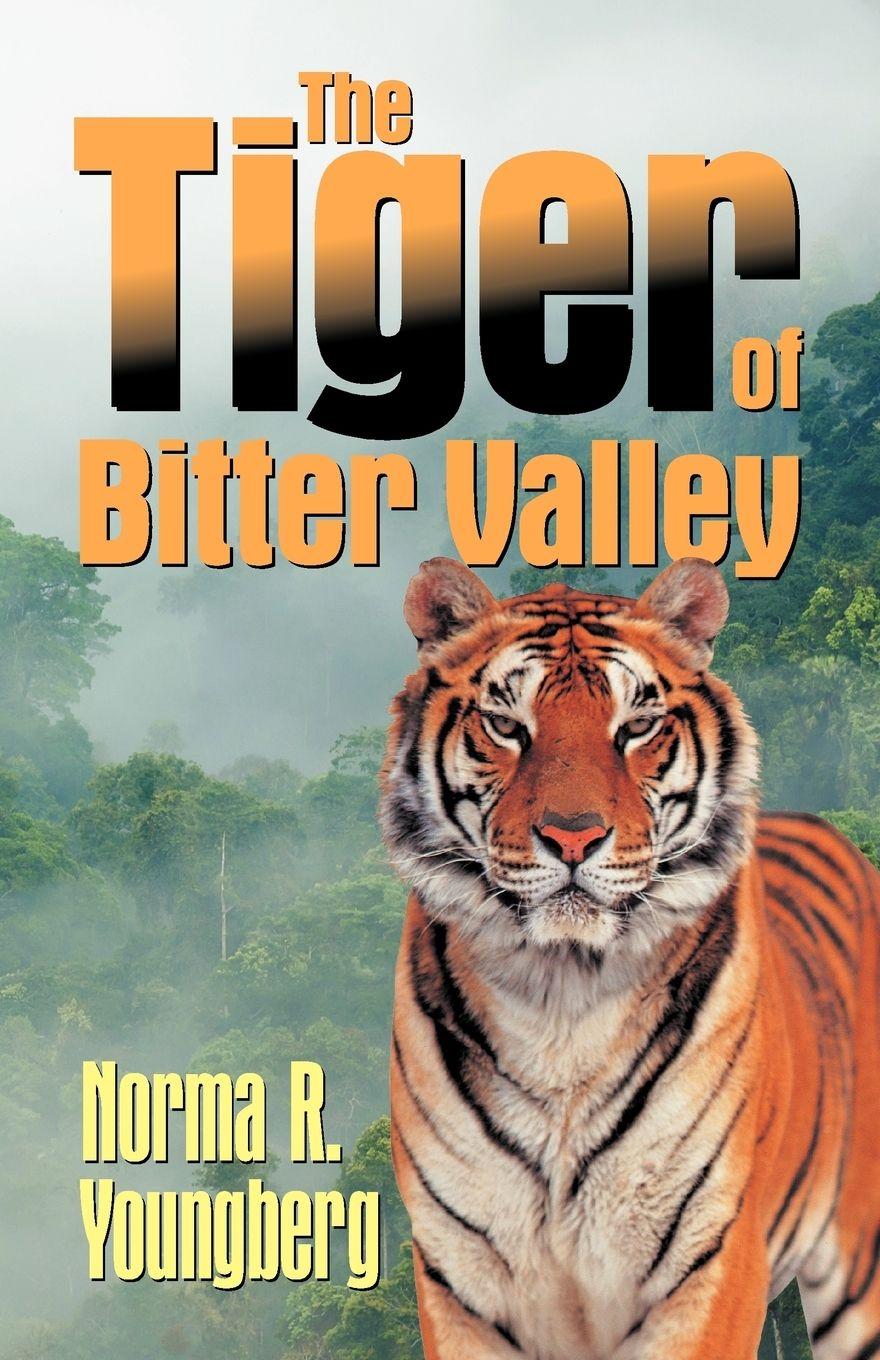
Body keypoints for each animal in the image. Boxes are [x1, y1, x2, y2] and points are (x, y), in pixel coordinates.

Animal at [379, 555, 880, 1360]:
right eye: (506, 726)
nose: (574, 837)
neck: (561, 1000)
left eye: (636, 727)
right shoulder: (462, 1278)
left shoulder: (708, 1259)